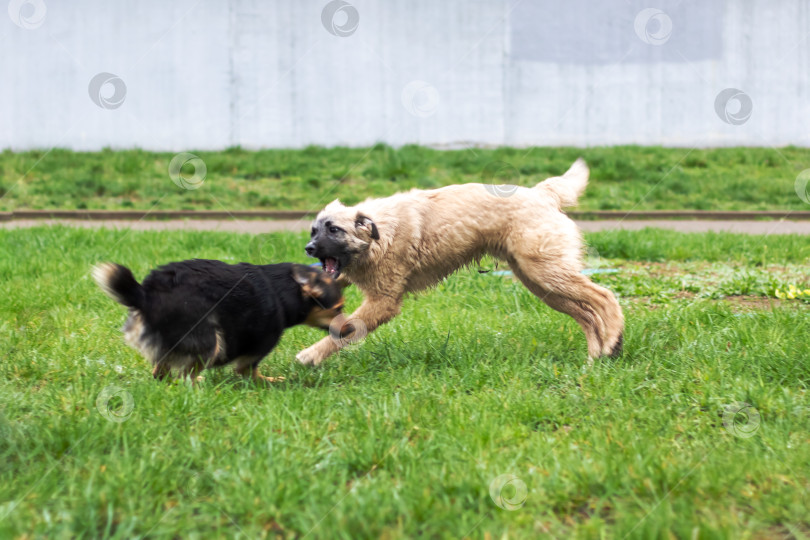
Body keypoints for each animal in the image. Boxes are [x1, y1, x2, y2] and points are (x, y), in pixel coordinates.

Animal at [93, 260, 342, 382]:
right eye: (338, 309)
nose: (347, 329)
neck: (285, 289)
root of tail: (145, 294)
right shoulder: (257, 348)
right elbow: (249, 371)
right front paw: (270, 381)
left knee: (161, 373)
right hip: (210, 341)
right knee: (185, 376)